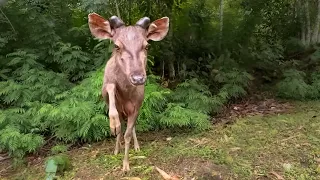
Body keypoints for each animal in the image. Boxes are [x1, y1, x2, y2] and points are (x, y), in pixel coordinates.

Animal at [86, 13, 169, 172]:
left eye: (147, 45)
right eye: (116, 46)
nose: (138, 78)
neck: (126, 94)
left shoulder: (136, 107)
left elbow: (128, 135)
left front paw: (125, 166)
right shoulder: (105, 87)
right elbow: (111, 89)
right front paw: (113, 124)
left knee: (132, 128)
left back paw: (136, 147)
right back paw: (116, 147)